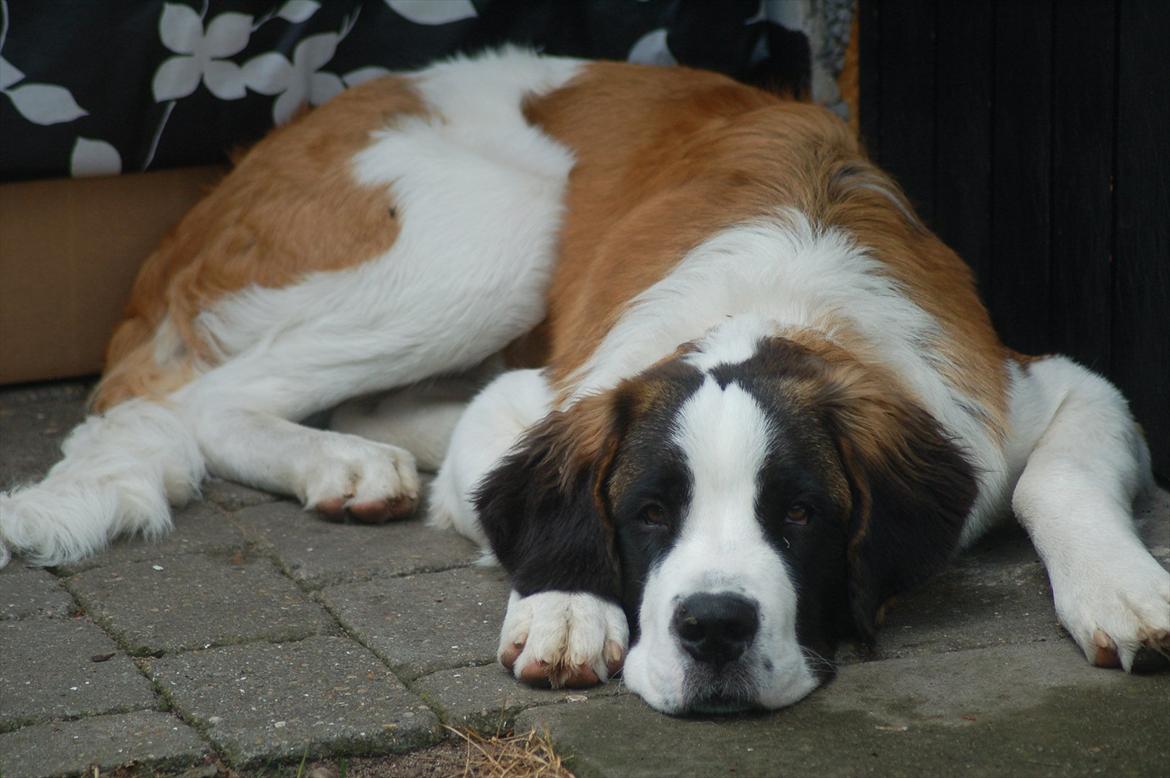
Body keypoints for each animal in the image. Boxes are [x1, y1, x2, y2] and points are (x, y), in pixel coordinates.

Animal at [2, 50, 1170, 715]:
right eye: (649, 513)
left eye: (800, 516)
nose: (713, 628)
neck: (784, 297)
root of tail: (228, 178)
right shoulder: (540, 399)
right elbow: (536, 498)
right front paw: (568, 606)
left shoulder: (1040, 394)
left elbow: (1054, 479)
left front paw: (1128, 589)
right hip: (495, 229)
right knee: (193, 402)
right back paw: (343, 463)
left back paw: (367, 455)